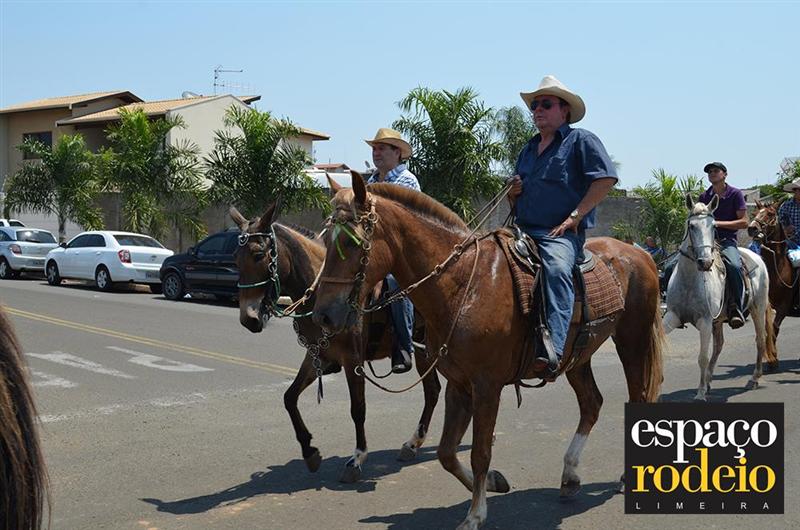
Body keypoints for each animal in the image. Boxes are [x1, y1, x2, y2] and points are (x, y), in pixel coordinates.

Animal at [229, 202, 441, 483]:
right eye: (235, 257)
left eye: (257, 254)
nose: (248, 319)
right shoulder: (317, 356)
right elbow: (289, 397)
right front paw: (310, 451)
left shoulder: (353, 360)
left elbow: (358, 409)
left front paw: (357, 459)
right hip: (426, 352)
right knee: (433, 390)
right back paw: (413, 444)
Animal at [311, 174, 664, 530]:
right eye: (324, 238)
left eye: (353, 242)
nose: (323, 315)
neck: (464, 284)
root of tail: (640, 255)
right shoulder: (458, 384)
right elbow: (447, 453)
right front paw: (493, 483)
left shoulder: (486, 386)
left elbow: (479, 452)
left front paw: (475, 514)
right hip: (578, 357)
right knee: (592, 404)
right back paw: (570, 475)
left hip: (632, 342)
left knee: (635, 400)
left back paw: (624, 476)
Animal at [663, 195, 776, 401]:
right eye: (691, 225)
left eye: (713, 226)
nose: (705, 262)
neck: (690, 279)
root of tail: (756, 256)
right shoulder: (672, 317)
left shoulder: (705, 321)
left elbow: (702, 357)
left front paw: (700, 393)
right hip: (719, 321)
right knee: (719, 346)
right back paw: (709, 380)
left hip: (757, 309)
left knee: (760, 339)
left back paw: (754, 378)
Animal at [748, 199, 795, 367]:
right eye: (755, 213)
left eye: (770, 214)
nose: (752, 228)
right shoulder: (765, 302)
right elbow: (767, 328)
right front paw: (770, 356)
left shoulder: (785, 304)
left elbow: (774, 328)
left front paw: (773, 356)